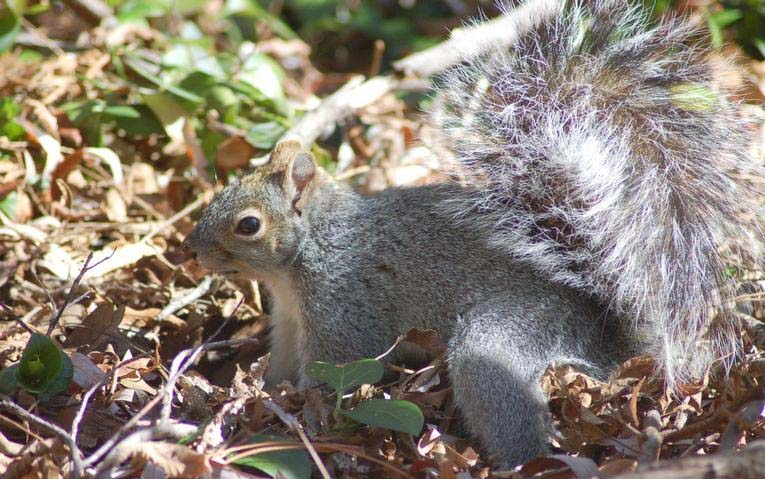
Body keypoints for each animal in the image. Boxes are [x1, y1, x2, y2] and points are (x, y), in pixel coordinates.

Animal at [184, 0, 763, 467]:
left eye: (249, 224)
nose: (190, 252)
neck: (312, 253)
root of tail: (610, 338)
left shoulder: (345, 303)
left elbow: (339, 368)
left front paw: (293, 413)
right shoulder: (287, 319)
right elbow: (282, 362)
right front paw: (263, 392)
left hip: (511, 337)